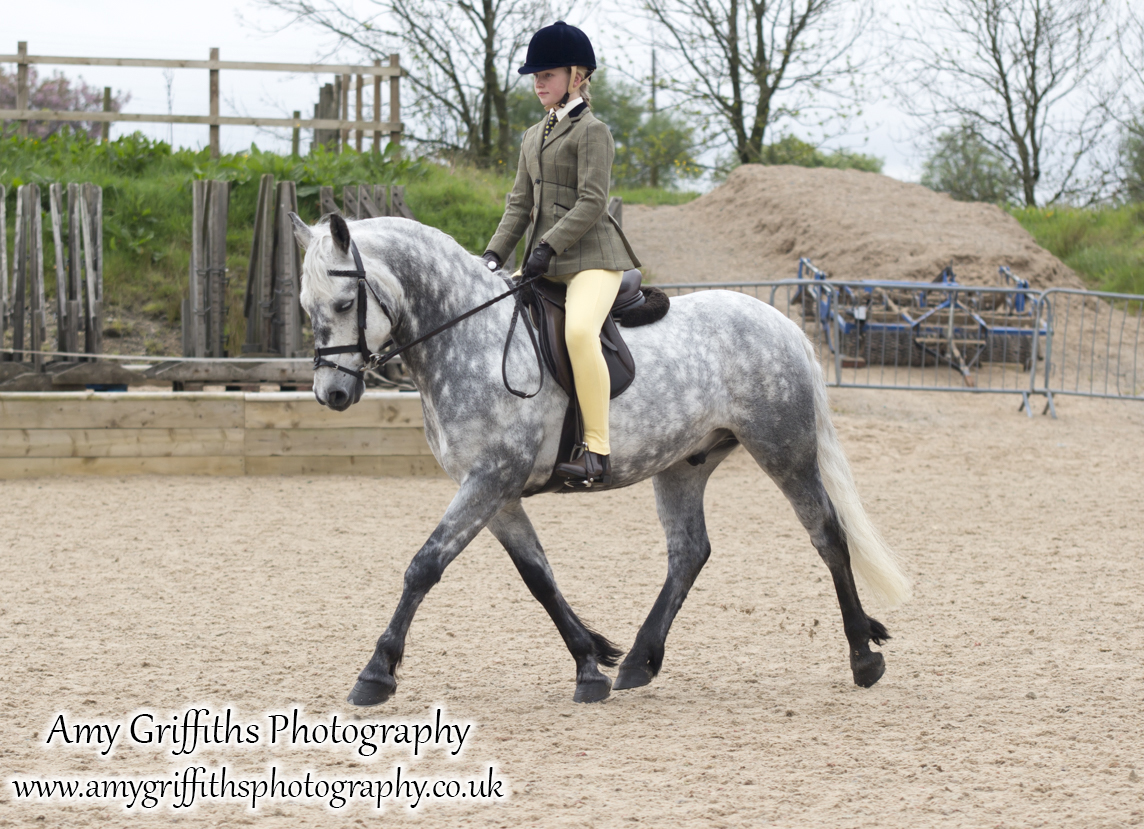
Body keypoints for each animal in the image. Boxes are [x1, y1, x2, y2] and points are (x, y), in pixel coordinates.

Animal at [290, 210, 906, 699]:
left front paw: (376, 673)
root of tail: (781, 324)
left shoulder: (488, 481)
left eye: (345, 302)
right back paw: (639, 661)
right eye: (305, 306)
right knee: (689, 552)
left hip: (784, 448)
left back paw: (863, 657)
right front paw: (590, 662)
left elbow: (425, 565)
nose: (331, 394)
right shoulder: (496, 492)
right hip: (683, 465)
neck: (470, 338)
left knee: (827, 534)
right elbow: (538, 578)